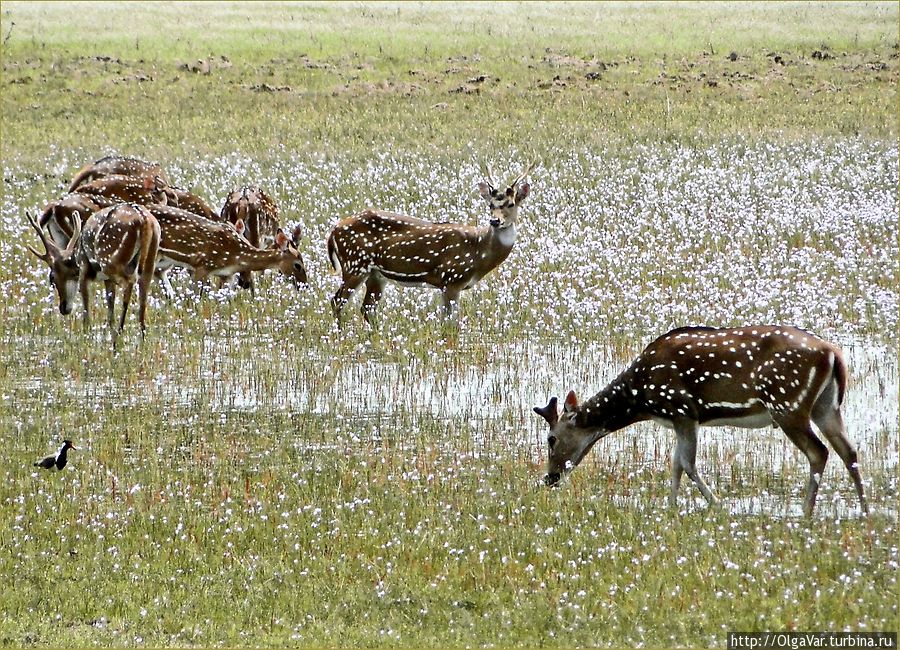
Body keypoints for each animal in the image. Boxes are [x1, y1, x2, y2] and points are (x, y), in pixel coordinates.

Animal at [25, 204, 161, 346]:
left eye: (52, 278)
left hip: (110, 260)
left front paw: (86, 339)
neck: (76, 257)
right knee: (143, 298)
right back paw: (140, 339)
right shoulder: (108, 280)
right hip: (151, 259)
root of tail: (144, 220)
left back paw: (120, 333)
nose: (63, 308)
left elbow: (86, 311)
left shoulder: (84, 270)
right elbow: (110, 310)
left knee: (130, 282)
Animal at [326, 162, 532, 324]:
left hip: (375, 274)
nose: (495, 221)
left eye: (511, 204)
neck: (478, 252)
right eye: (490, 205)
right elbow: (449, 324)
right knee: (337, 301)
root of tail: (333, 231)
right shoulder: (452, 278)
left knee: (367, 308)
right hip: (354, 264)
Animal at [536, 324, 872, 516]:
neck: (641, 399)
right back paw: (865, 510)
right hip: (826, 406)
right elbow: (675, 463)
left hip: (787, 402)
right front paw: (671, 507)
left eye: (551, 438)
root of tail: (833, 354)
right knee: (848, 450)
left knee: (819, 451)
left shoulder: (683, 409)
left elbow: (686, 463)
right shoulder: (679, 419)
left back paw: (806, 511)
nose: (549, 478)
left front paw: (717, 505)